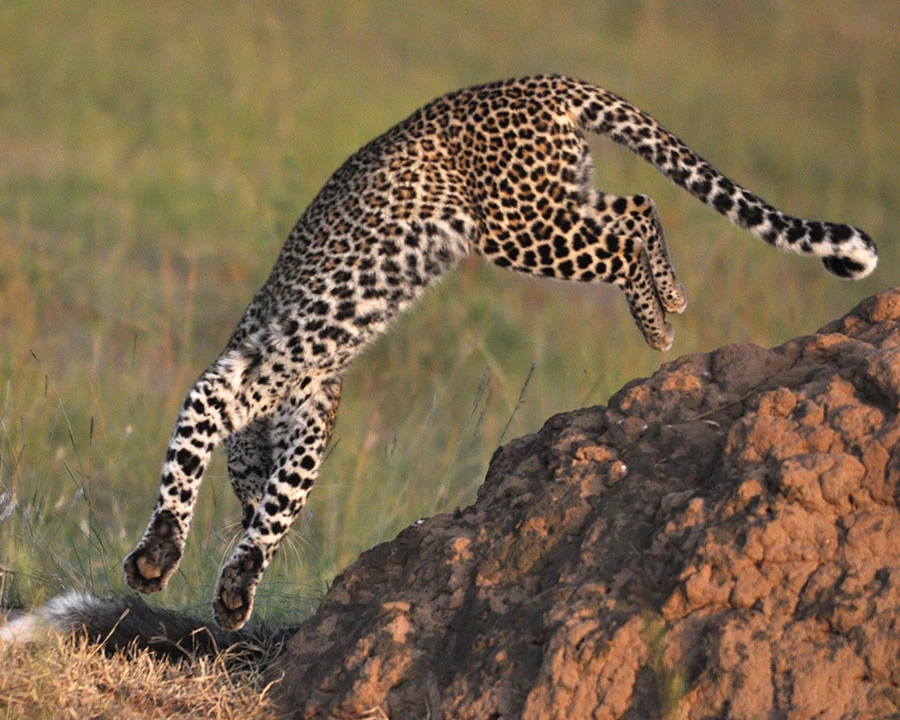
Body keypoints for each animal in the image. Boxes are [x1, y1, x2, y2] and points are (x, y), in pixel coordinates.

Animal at [123, 75, 877, 630]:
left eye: (244, 479)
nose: (242, 503)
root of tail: (530, 81)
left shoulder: (282, 404)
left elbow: (227, 476)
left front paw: (165, 558)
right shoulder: (294, 411)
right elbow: (263, 494)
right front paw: (230, 578)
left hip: (521, 225)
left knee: (628, 226)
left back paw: (661, 319)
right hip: (556, 200)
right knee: (634, 206)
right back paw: (669, 306)